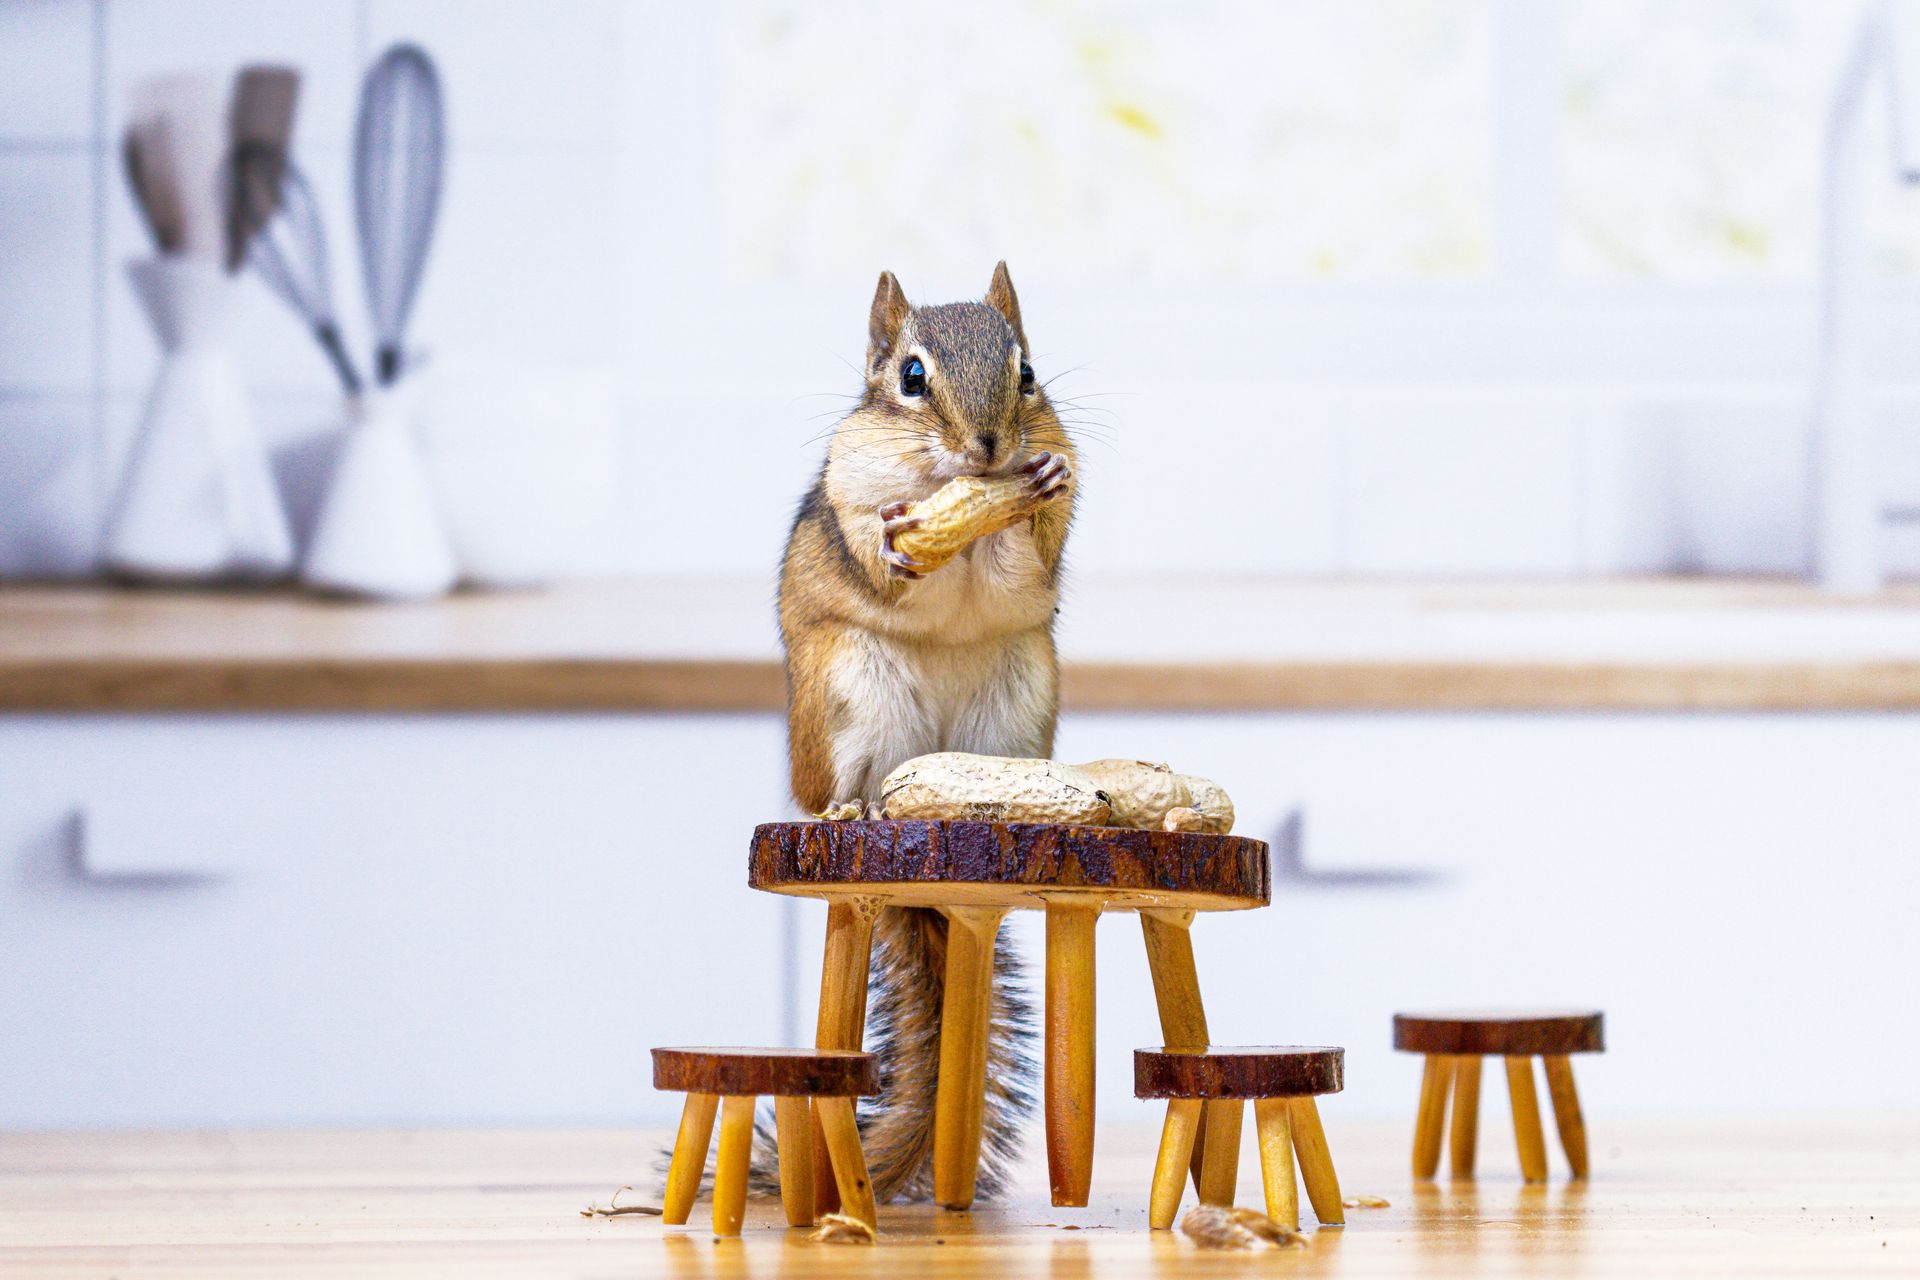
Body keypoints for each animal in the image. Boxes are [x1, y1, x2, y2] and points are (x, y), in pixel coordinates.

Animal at [778, 262, 1076, 1203]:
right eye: (911, 377)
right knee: (842, 791)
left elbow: (1027, 557)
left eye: (1027, 373)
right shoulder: (851, 484)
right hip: (850, 700)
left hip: (1017, 706)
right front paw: (895, 543)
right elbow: (876, 549)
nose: (988, 449)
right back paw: (855, 812)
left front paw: (1033, 483)